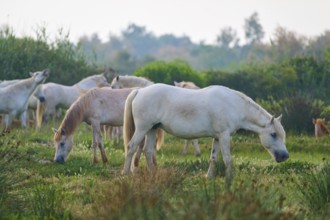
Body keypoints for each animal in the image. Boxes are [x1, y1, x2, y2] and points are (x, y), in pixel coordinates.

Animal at [122, 83, 288, 183]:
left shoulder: (217, 137)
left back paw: (153, 175)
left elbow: (213, 158)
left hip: (152, 129)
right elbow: (228, 159)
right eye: (273, 134)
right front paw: (229, 179)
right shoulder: (224, 135)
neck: (233, 105)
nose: (285, 156)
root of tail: (139, 91)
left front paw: (209, 177)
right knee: (131, 147)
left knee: (148, 151)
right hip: (143, 128)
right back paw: (126, 173)